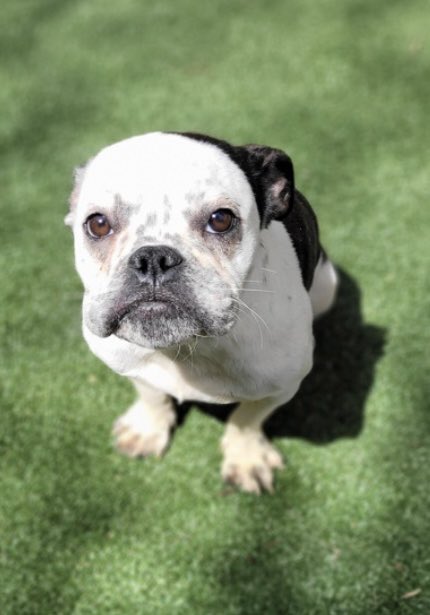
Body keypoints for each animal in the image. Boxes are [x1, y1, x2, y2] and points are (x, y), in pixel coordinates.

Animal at [65, 131, 338, 496]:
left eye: (221, 220)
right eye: (97, 224)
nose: (153, 258)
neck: (186, 348)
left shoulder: (281, 387)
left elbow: (247, 419)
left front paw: (246, 458)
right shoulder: (130, 364)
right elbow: (150, 393)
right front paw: (147, 428)